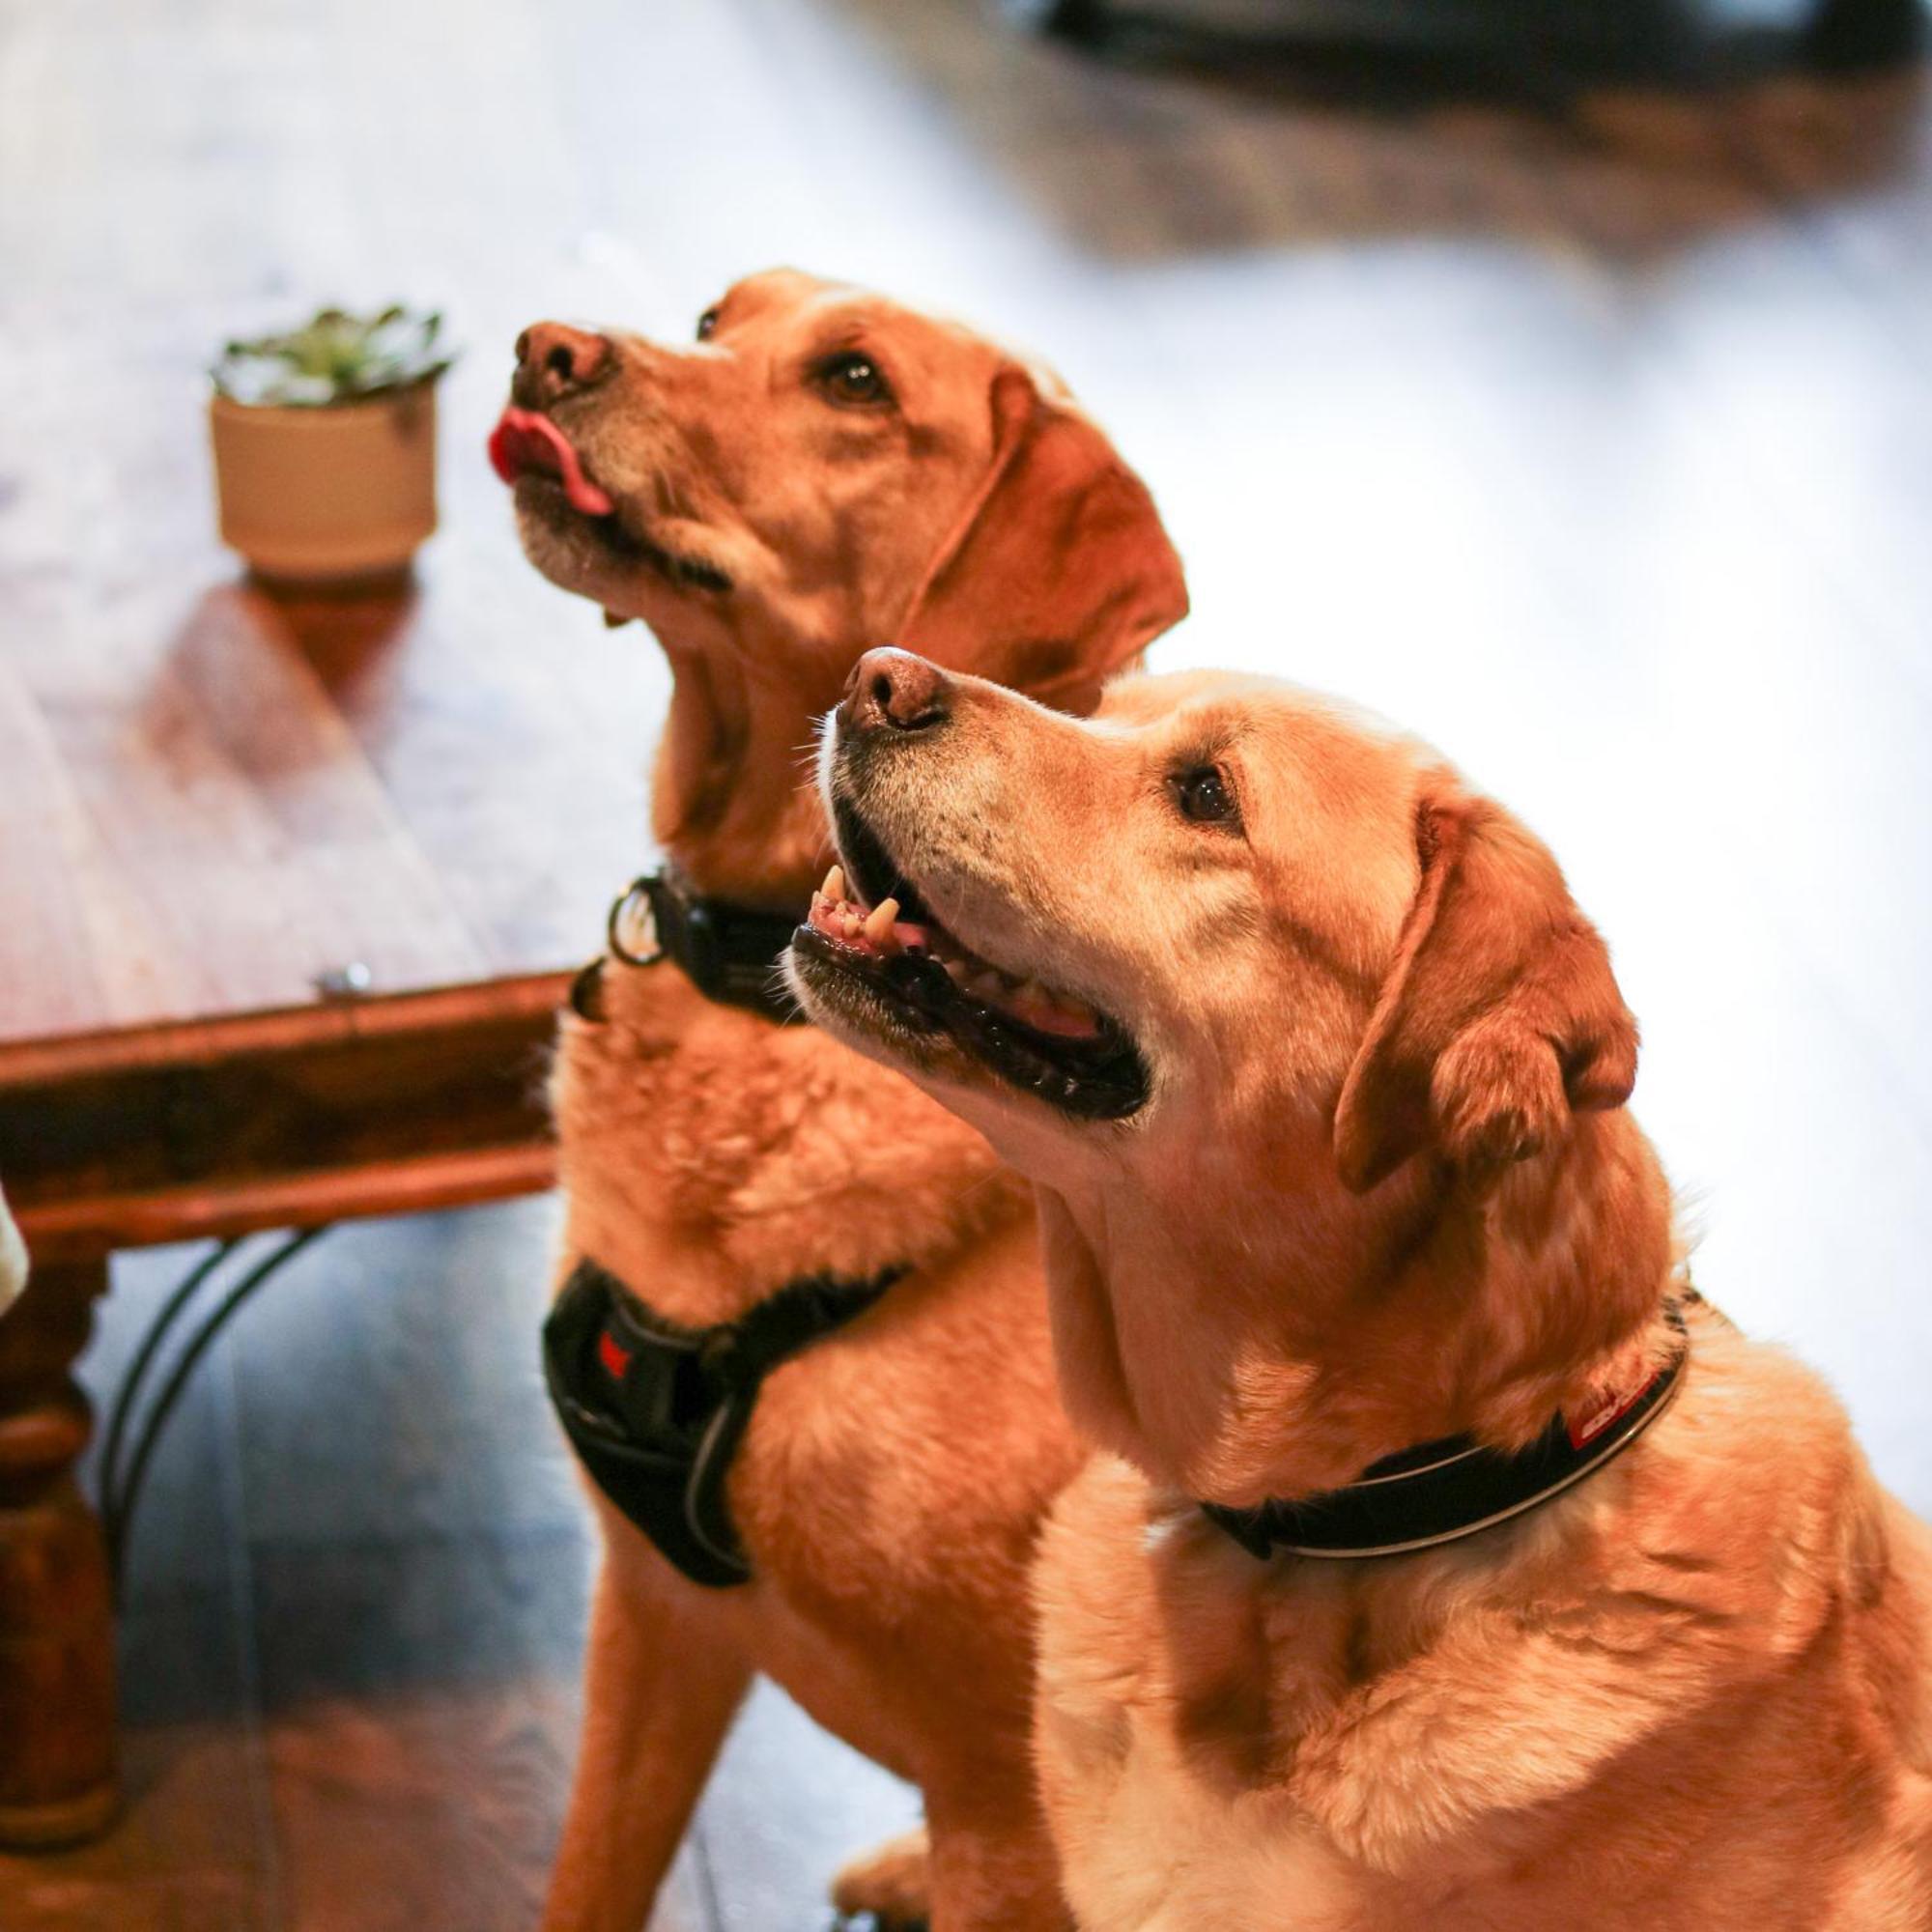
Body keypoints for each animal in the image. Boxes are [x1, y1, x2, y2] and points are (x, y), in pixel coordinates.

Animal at [491, 269, 1182, 1932]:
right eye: (712, 320)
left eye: (855, 381)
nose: (545, 351)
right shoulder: (652, 1622)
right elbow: (586, 1880)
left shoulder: (1008, 1801)